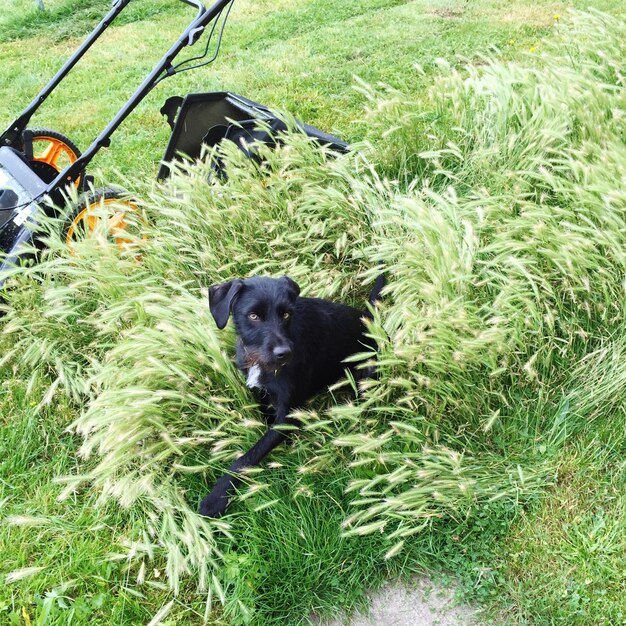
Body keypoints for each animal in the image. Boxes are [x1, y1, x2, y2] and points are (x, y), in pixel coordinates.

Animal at [197, 274, 382, 516]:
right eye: (253, 316)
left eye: (286, 314)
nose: (283, 353)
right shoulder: (262, 395)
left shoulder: (289, 414)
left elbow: (246, 457)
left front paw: (217, 497)